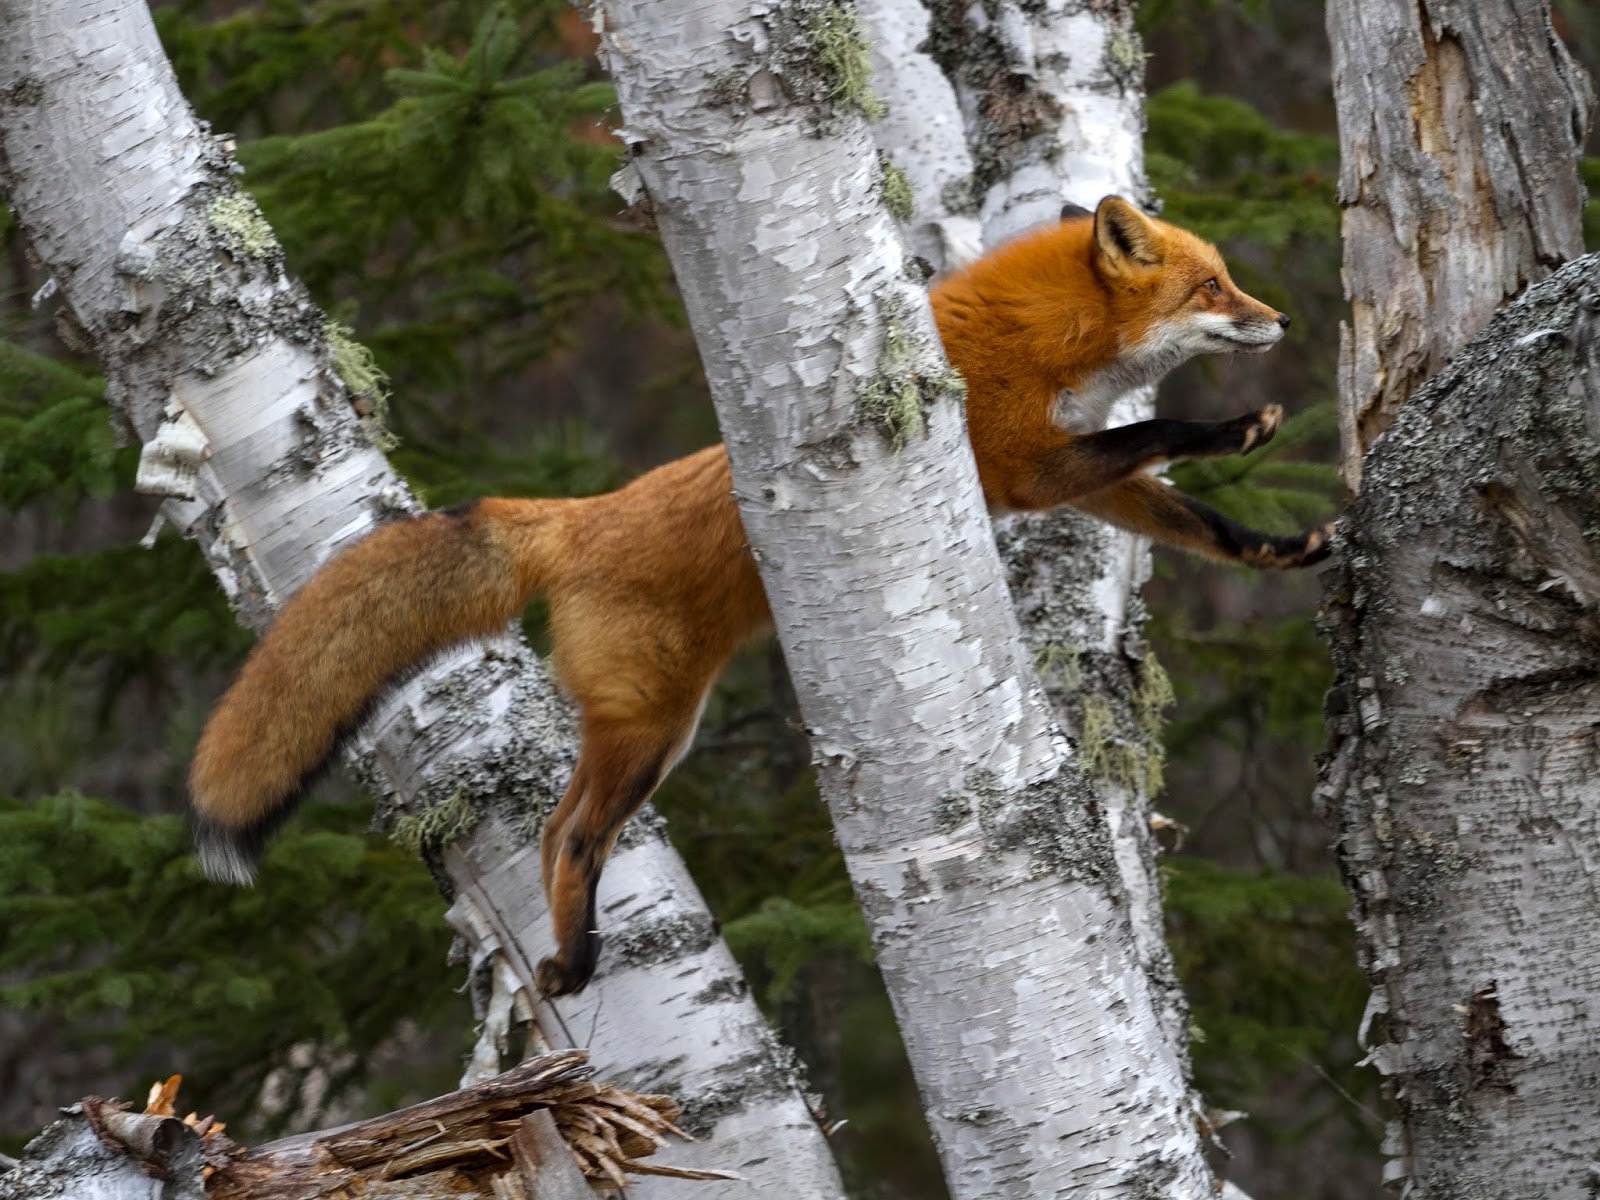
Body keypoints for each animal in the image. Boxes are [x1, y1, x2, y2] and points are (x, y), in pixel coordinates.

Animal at [189, 196, 1331, 997]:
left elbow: (1199, 524)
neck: (1050, 335)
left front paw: (1281, 546)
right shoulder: (1023, 464)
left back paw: (569, 954)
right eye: (1215, 286)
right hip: (654, 721)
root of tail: (577, 514)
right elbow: (1159, 430)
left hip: (654, 732)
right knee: (574, 835)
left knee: (562, 830)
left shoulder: (1071, 477)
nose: (1282, 317)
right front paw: (1234, 427)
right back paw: (577, 959)